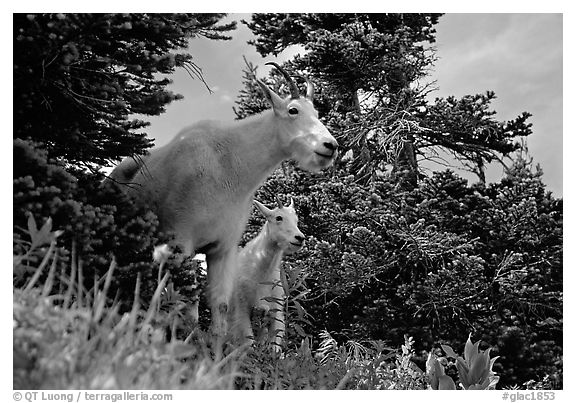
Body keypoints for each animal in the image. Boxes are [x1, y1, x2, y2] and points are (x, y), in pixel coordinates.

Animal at [108, 62, 338, 334]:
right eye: (293, 110)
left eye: (316, 112)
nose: (330, 146)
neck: (230, 167)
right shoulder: (180, 242)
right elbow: (183, 301)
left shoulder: (222, 248)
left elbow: (220, 305)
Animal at [230, 197, 304, 352]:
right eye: (278, 217)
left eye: (296, 220)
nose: (300, 238)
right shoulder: (242, 306)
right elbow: (249, 343)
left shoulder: (276, 309)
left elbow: (275, 346)